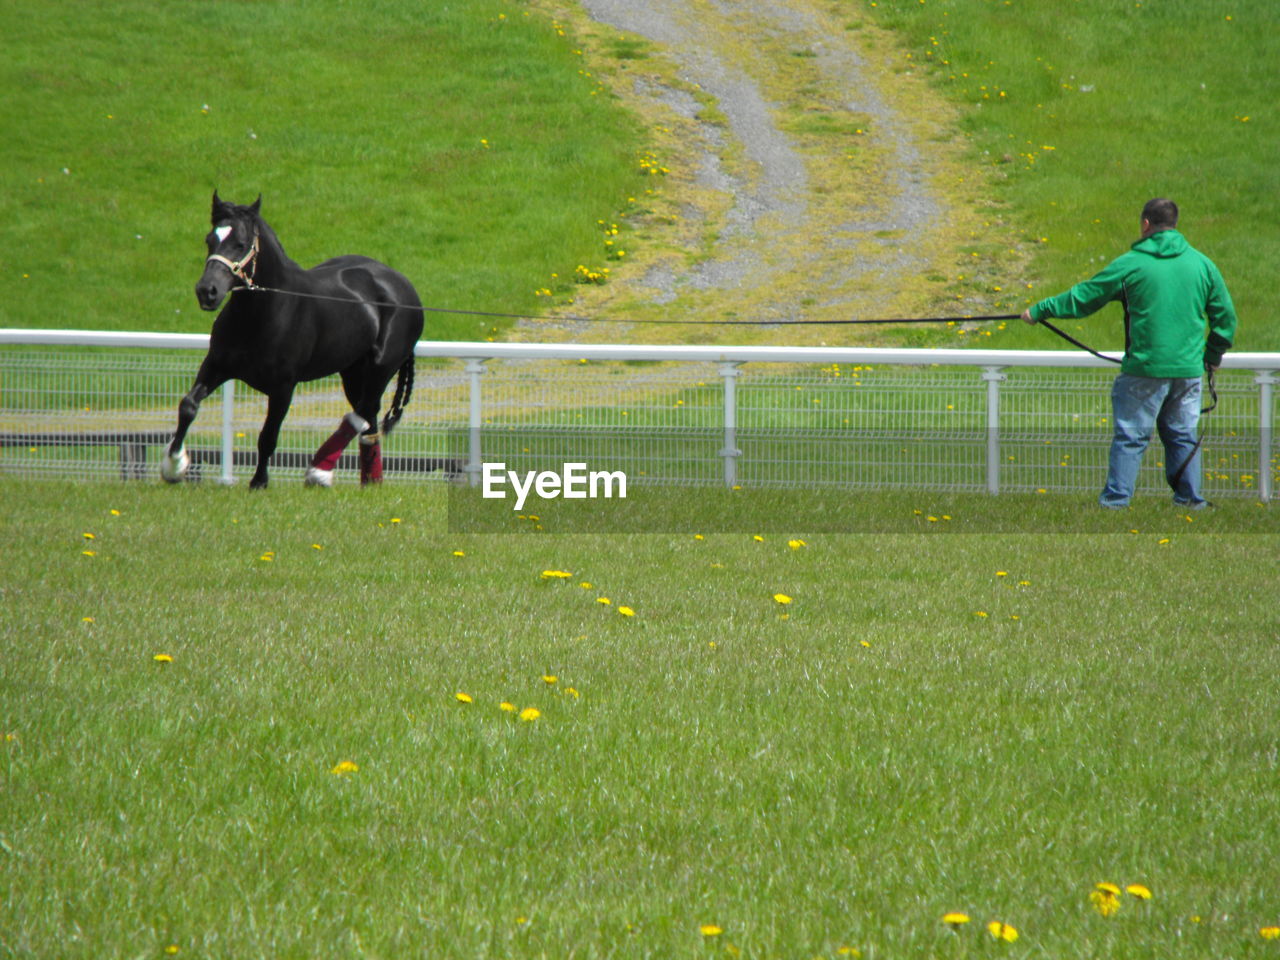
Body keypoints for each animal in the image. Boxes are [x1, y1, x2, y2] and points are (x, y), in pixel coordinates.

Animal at [162, 194, 424, 491]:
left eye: (240, 244)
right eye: (209, 240)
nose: (207, 291)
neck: (262, 312)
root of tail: (401, 284)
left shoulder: (283, 387)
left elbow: (268, 436)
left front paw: (259, 482)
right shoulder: (216, 367)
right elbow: (188, 406)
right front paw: (174, 466)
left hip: (381, 368)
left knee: (361, 413)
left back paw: (321, 470)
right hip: (353, 372)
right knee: (369, 419)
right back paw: (370, 480)